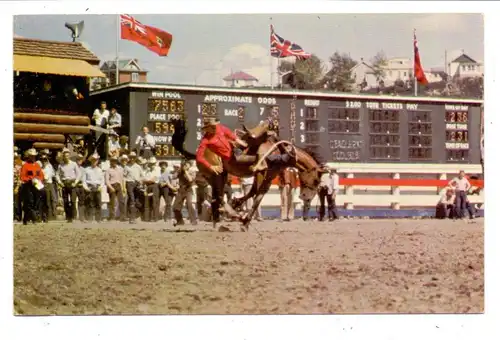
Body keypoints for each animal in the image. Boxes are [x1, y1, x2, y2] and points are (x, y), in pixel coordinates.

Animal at [172, 117, 328, 231]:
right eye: (316, 180)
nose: (305, 197)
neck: (278, 153)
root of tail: (199, 153)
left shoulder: (269, 177)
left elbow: (257, 196)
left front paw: (243, 215)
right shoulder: (261, 172)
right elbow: (255, 193)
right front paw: (241, 212)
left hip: (218, 176)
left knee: (216, 197)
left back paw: (220, 220)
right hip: (216, 175)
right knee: (219, 197)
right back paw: (233, 215)